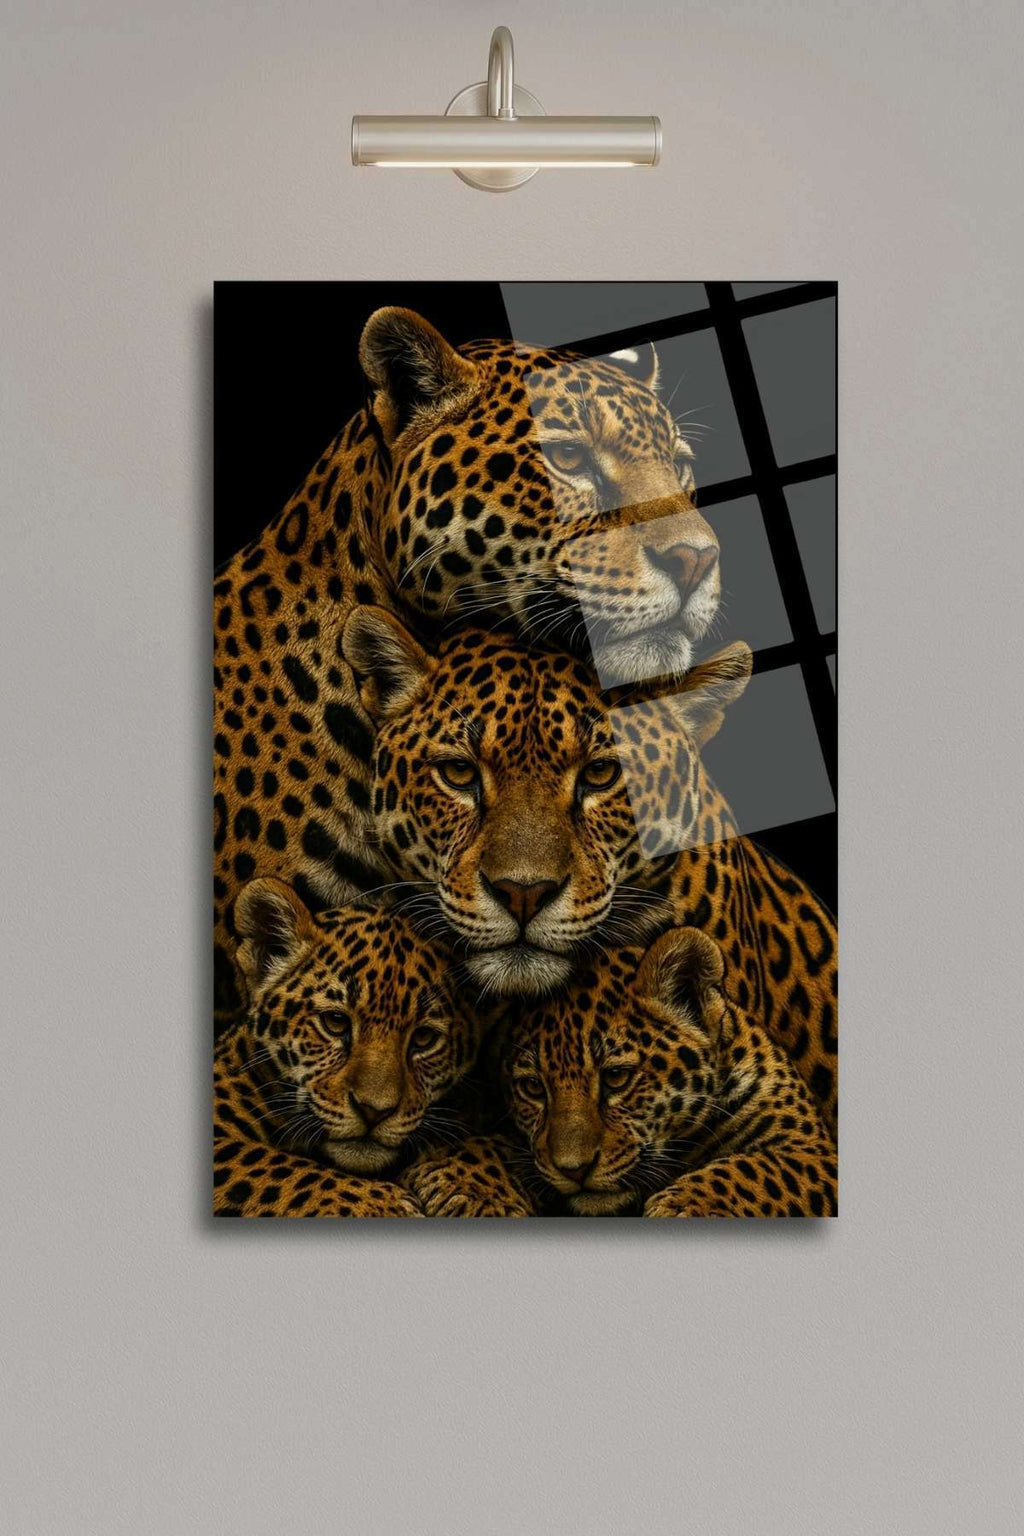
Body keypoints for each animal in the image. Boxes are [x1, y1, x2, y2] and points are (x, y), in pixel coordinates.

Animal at [504, 926, 837, 1217]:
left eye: (616, 1077)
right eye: (533, 1087)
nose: (573, 1170)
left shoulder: (812, 1151)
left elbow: (754, 1170)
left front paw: (682, 1204)